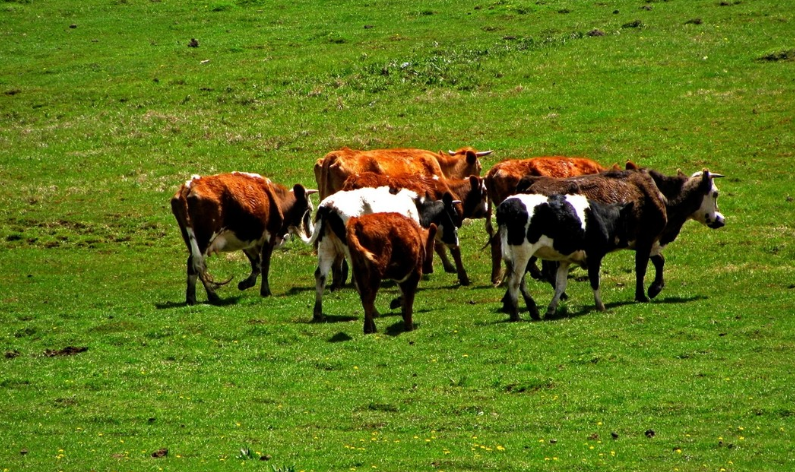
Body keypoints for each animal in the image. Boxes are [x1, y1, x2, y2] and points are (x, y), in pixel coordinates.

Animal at [171, 171, 318, 304]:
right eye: (309, 208)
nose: (311, 232)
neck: (275, 198)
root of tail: (189, 186)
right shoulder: (269, 235)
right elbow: (264, 264)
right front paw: (266, 292)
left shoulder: (247, 240)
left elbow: (256, 265)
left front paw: (245, 283)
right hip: (204, 238)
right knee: (197, 264)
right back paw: (203, 296)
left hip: (191, 239)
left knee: (195, 265)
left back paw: (203, 297)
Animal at [310, 184, 460, 320]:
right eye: (452, 214)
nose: (456, 239)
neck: (416, 208)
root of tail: (327, 206)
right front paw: (400, 302)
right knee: (356, 280)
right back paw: (374, 311)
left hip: (327, 247)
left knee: (321, 276)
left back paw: (318, 313)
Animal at [498, 192, 636, 320]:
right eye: (629, 220)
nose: (631, 241)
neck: (600, 218)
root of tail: (506, 204)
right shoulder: (594, 256)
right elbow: (595, 281)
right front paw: (600, 306)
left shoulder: (565, 261)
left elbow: (561, 285)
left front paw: (551, 310)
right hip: (523, 253)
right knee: (515, 281)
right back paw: (515, 314)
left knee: (520, 280)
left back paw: (533, 311)